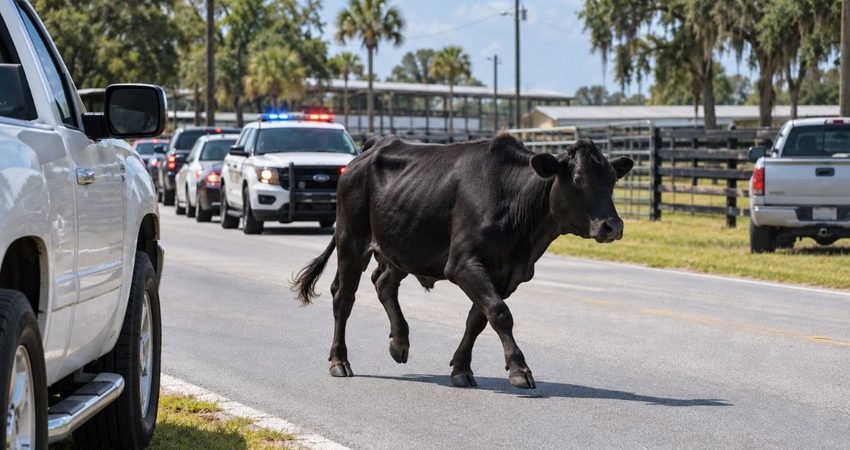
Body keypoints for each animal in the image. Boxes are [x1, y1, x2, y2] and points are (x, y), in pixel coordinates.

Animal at [291, 133, 633, 389]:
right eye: (578, 178)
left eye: (613, 180)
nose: (612, 226)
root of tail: (372, 148)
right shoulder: (463, 263)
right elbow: (500, 313)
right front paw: (519, 368)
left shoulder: (506, 274)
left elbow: (478, 319)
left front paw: (461, 368)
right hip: (352, 239)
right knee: (343, 296)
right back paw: (339, 360)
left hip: (402, 246)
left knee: (383, 283)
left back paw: (399, 342)